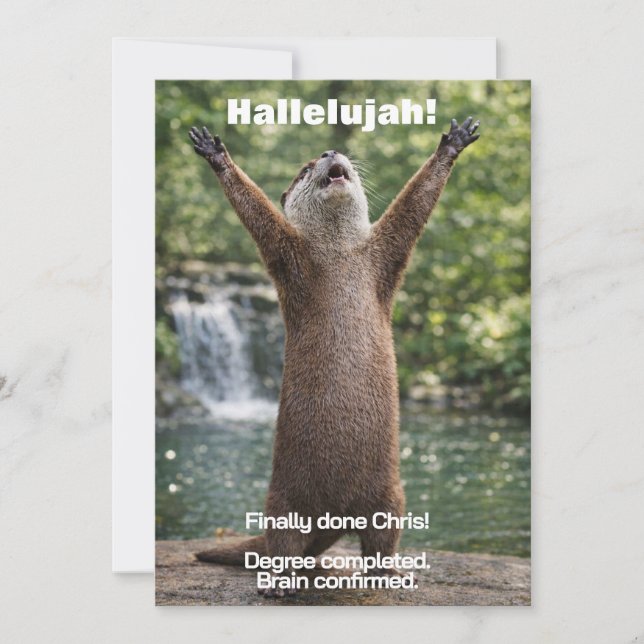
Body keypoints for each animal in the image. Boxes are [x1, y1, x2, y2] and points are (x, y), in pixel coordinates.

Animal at [187, 118, 480, 597]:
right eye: (306, 167)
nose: (329, 152)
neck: (339, 256)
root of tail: (335, 515)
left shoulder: (384, 255)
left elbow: (413, 208)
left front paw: (451, 145)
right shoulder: (289, 255)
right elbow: (258, 214)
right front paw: (216, 154)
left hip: (391, 496)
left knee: (380, 539)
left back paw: (389, 573)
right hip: (283, 501)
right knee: (283, 541)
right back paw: (279, 580)